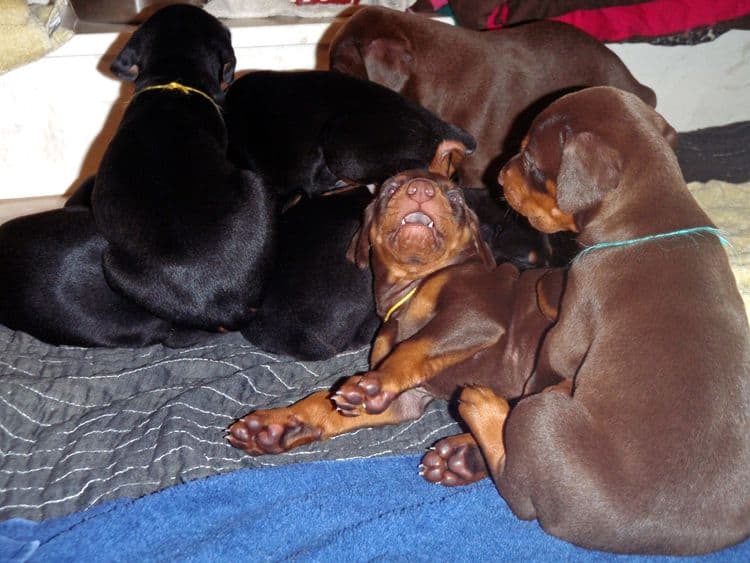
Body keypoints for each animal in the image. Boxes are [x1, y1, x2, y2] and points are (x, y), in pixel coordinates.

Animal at [229, 170, 564, 470]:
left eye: (455, 197)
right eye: (390, 188)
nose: (421, 189)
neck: (411, 286)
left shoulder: (475, 314)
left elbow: (414, 346)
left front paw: (375, 384)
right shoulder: (408, 399)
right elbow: (324, 402)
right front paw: (278, 425)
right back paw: (463, 457)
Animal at [452, 88, 750, 556]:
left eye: (531, 162)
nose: (497, 176)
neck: (650, 217)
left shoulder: (568, 326)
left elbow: (549, 356)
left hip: (542, 420)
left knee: (517, 489)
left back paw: (482, 406)